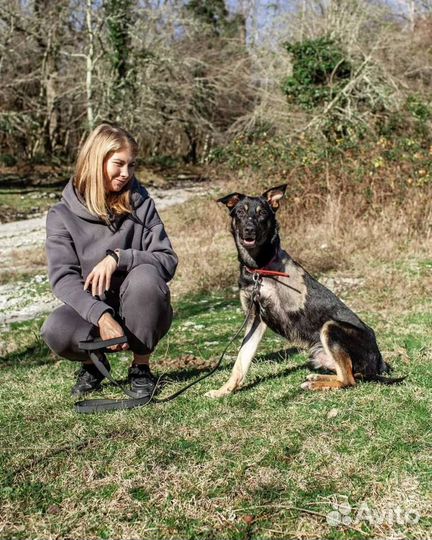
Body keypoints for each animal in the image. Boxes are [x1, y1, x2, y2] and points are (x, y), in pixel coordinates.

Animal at [204, 184, 404, 398]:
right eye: (240, 212)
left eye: (262, 213)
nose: (249, 230)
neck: (259, 268)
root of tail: (379, 362)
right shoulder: (255, 317)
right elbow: (241, 361)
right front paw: (223, 391)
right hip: (319, 355)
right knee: (348, 373)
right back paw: (316, 378)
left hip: (330, 327)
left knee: (349, 380)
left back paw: (315, 385)